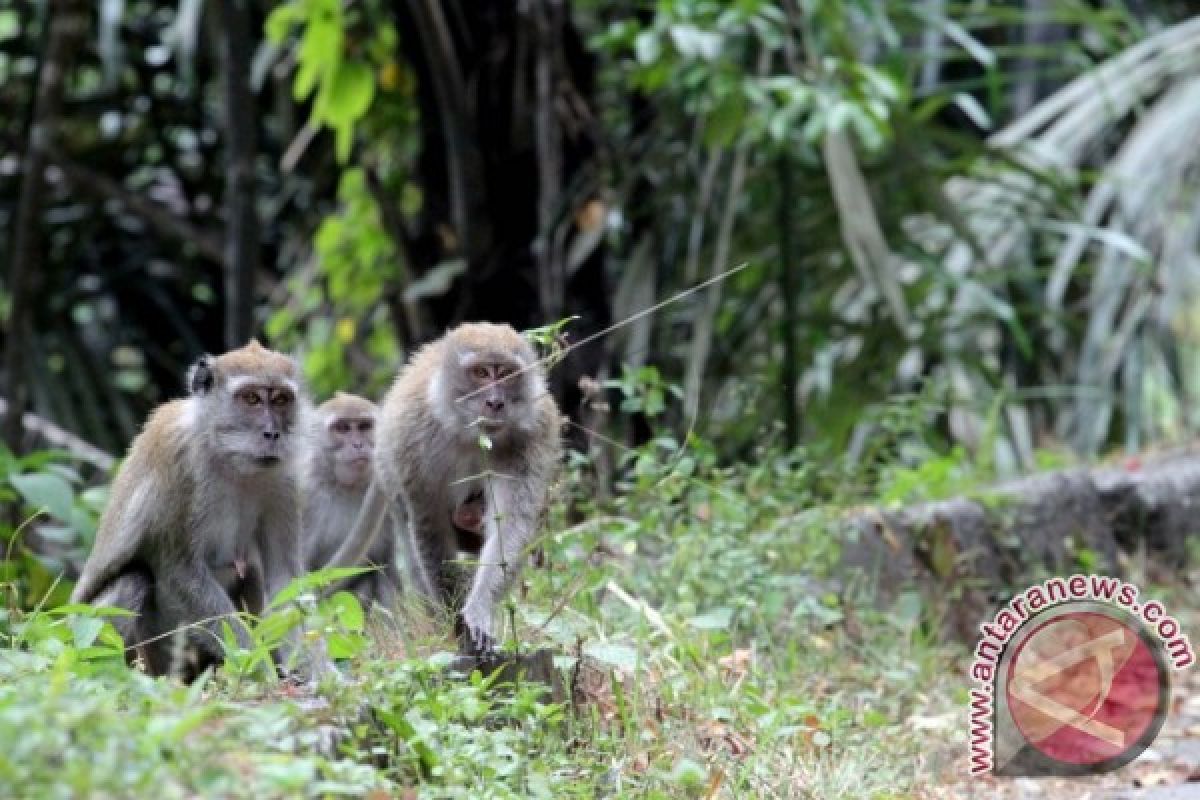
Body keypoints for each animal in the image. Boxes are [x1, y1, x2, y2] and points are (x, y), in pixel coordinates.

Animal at [69, 340, 314, 681]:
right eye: (251, 398)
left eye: (281, 400)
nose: (272, 433)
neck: (228, 456)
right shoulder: (178, 459)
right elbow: (181, 574)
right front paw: (259, 670)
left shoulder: (284, 478)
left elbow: (284, 578)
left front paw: (320, 670)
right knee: (134, 580)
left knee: (250, 572)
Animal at [300, 391, 403, 609]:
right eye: (342, 428)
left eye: (364, 426)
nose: (358, 444)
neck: (345, 487)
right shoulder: (305, 495)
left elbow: (385, 563)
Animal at [326, 321, 564, 652]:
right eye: (481, 373)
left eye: (505, 373)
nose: (495, 402)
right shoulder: (413, 438)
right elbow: (430, 525)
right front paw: (452, 620)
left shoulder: (535, 434)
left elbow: (511, 524)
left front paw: (479, 610)